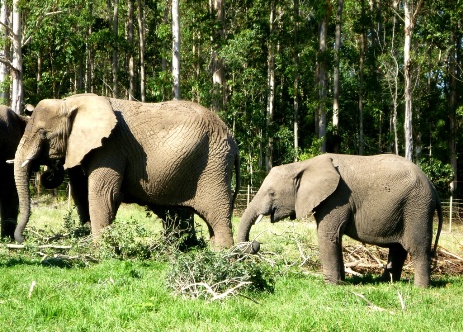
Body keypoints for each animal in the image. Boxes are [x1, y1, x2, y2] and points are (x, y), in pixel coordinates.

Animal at [14, 94, 239, 249]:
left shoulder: (110, 147)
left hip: (214, 166)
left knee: (216, 213)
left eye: (44, 133)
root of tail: (231, 137)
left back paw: (220, 255)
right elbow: (81, 193)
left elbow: (103, 194)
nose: (22, 239)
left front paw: (99, 251)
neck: (70, 102)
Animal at [239, 154, 446, 286]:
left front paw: (330, 286)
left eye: (271, 193)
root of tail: (434, 190)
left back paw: (420, 289)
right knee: (398, 249)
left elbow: (326, 235)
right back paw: (386, 283)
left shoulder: (337, 198)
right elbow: (334, 237)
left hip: (417, 206)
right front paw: (341, 283)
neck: (302, 165)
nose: (255, 243)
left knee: (417, 248)